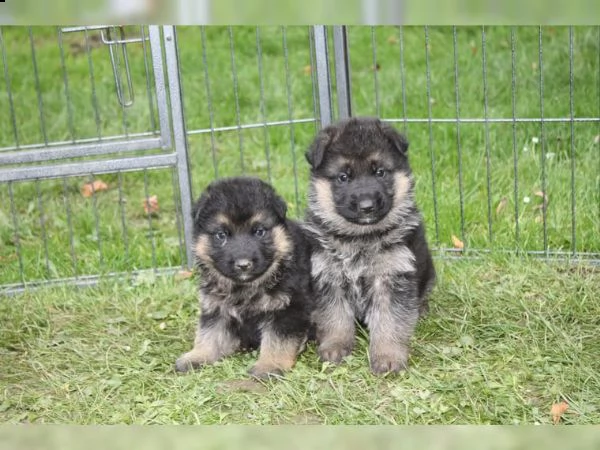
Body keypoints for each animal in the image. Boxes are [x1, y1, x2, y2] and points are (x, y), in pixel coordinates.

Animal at [175, 177, 312, 380]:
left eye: (259, 231)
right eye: (221, 235)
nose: (243, 264)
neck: (246, 287)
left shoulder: (288, 309)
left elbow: (277, 341)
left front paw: (269, 365)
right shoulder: (216, 307)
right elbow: (209, 334)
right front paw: (198, 356)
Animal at [304, 117, 436, 376]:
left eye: (380, 172)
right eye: (343, 177)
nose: (367, 206)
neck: (360, 238)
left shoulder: (391, 278)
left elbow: (389, 321)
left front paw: (387, 356)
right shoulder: (328, 277)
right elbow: (334, 316)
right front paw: (335, 346)